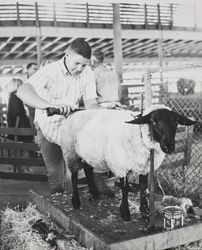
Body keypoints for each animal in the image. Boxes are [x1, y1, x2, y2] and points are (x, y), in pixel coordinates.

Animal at [59, 104, 196, 222]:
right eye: (154, 122)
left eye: (176, 122)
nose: (169, 146)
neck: (138, 134)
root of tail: (74, 113)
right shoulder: (120, 165)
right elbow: (124, 189)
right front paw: (125, 212)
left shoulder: (144, 167)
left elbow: (143, 187)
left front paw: (145, 212)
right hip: (70, 152)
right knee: (74, 176)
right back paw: (76, 201)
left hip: (90, 152)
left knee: (87, 169)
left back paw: (95, 193)